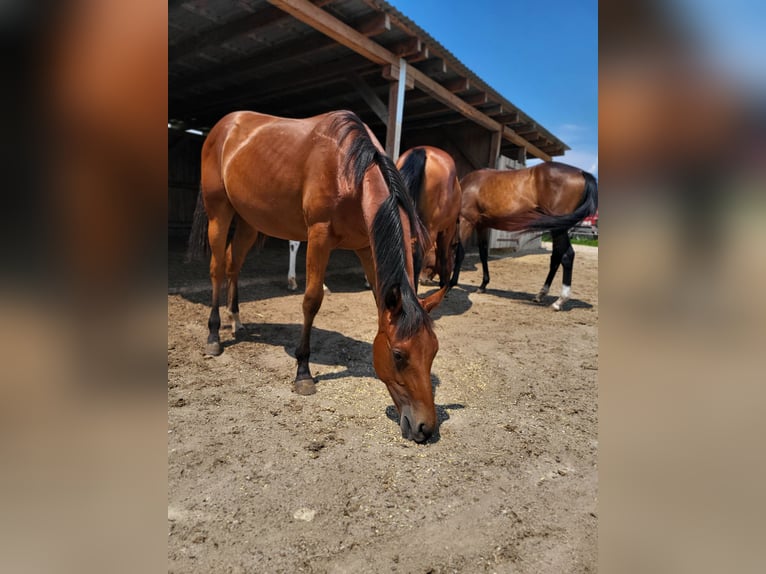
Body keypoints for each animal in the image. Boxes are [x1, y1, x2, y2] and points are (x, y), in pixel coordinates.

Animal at [187, 110, 446, 443]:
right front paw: (303, 372)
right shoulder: (319, 236)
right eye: (399, 355)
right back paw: (214, 335)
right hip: (219, 212)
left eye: (433, 350)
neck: (350, 168)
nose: (425, 428)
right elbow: (311, 300)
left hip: (248, 221)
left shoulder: (365, 247)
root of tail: (223, 126)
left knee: (234, 264)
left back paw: (237, 321)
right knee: (218, 269)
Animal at [397, 146, 462, 290]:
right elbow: (443, 257)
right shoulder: (447, 230)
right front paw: (443, 286)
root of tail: (421, 150)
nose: (424, 280)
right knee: (416, 257)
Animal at [450, 162, 598, 310]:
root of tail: (581, 173)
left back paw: (559, 301)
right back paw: (540, 295)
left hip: (559, 229)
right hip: (556, 227)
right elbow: (483, 254)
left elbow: (460, 252)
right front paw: (483, 285)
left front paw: (451, 284)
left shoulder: (466, 221)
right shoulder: (482, 226)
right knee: (556, 257)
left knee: (567, 255)